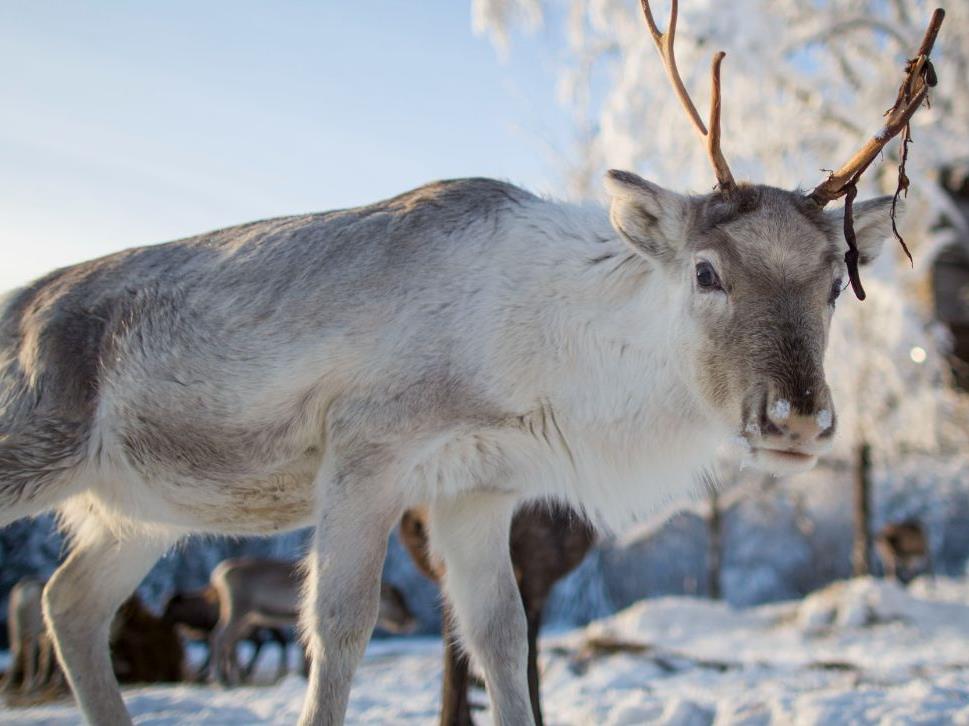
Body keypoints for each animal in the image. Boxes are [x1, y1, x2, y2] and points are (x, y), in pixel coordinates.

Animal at [208, 557, 416, 686]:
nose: (411, 620)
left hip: (247, 618)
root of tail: (217, 574)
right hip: (238, 610)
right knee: (220, 637)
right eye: (396, 600)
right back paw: (223, 678)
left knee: (230, 641)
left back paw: (234, 676)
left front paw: (305, 672)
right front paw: (305, 673)